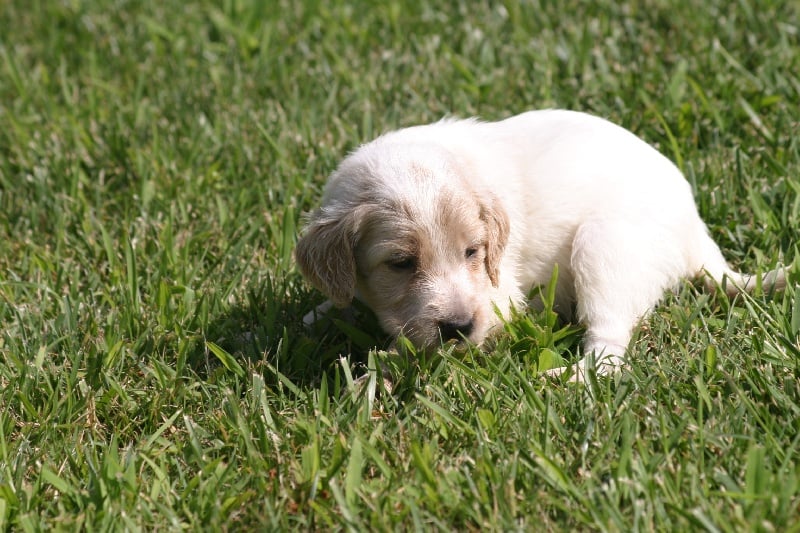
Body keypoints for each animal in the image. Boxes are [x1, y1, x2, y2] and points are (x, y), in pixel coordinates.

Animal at [295, 110, 787, 379]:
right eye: (400, 263)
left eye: (473, 252)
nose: (459, 327)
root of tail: (696, 230)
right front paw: (314, 317)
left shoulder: (499, 298)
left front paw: (372, 373)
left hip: (603, 245)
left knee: (608, 352)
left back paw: (559, 378)